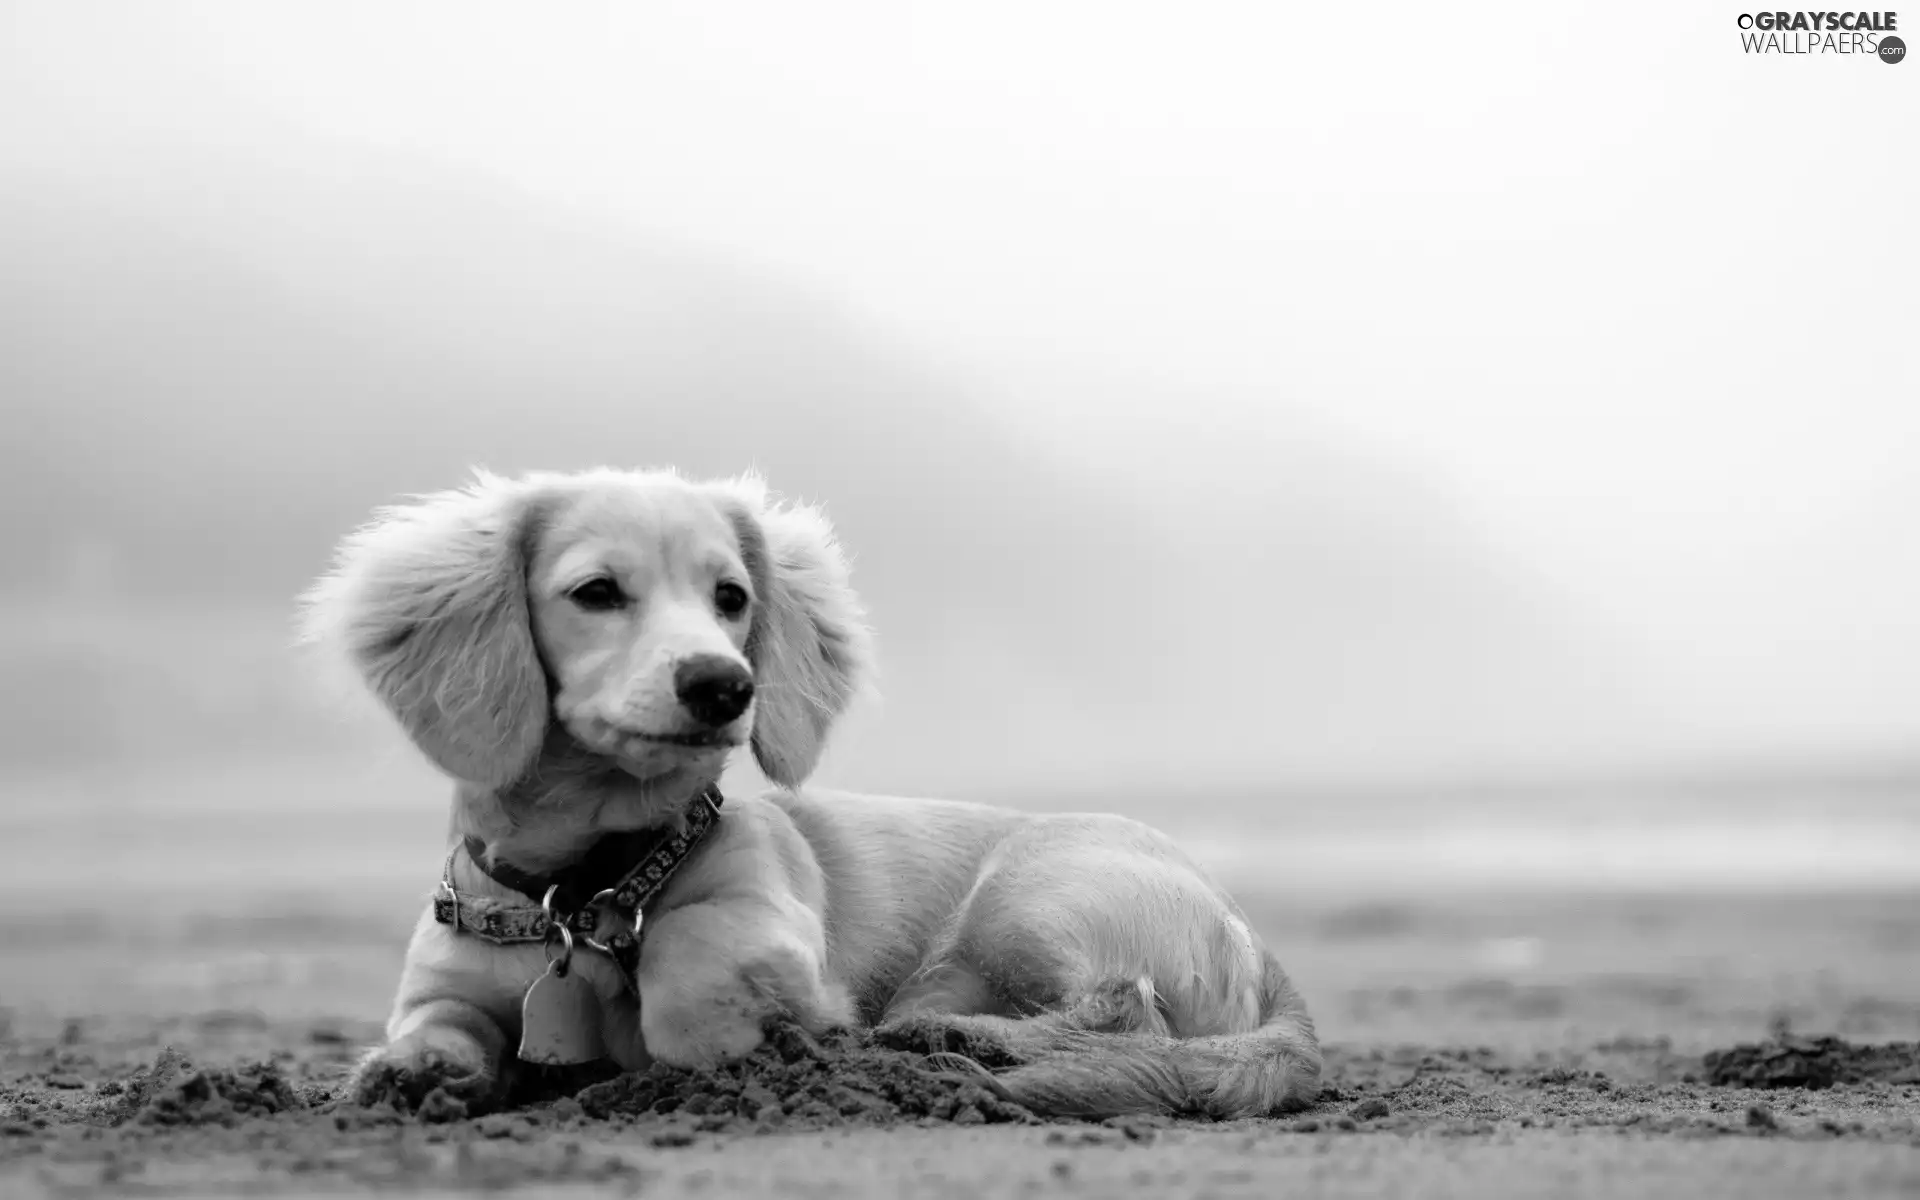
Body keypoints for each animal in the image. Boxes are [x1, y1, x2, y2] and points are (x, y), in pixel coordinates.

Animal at [303, 466, 1320, 1113]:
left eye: (732, 596)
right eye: (595, 591)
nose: (724, 686)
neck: (586, 886)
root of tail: (1260, 948)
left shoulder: (771, 928)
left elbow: (693, 950)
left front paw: (706, 1032)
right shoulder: (445, 985)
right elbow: (436, 1025)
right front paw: (406, 1076)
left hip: (1028, 897)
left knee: (1122, 1006)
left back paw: (959, 1042)